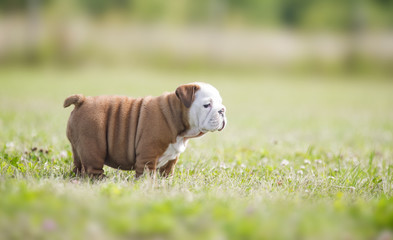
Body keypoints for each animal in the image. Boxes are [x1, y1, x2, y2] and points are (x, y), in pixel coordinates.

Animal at [63, 82, 225, 178]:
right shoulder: (148, 154)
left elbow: (167, 170)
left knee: (78, 164)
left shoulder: (171, 159)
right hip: (94, 146)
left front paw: (167, 182)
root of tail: (82, 100)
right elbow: (147, 173)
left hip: (78, 147)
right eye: (207, 105)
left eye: (221, 103)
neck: (174, 114)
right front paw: (148, 185)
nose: (222, 110)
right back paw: (101, 180)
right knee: (93, 168)